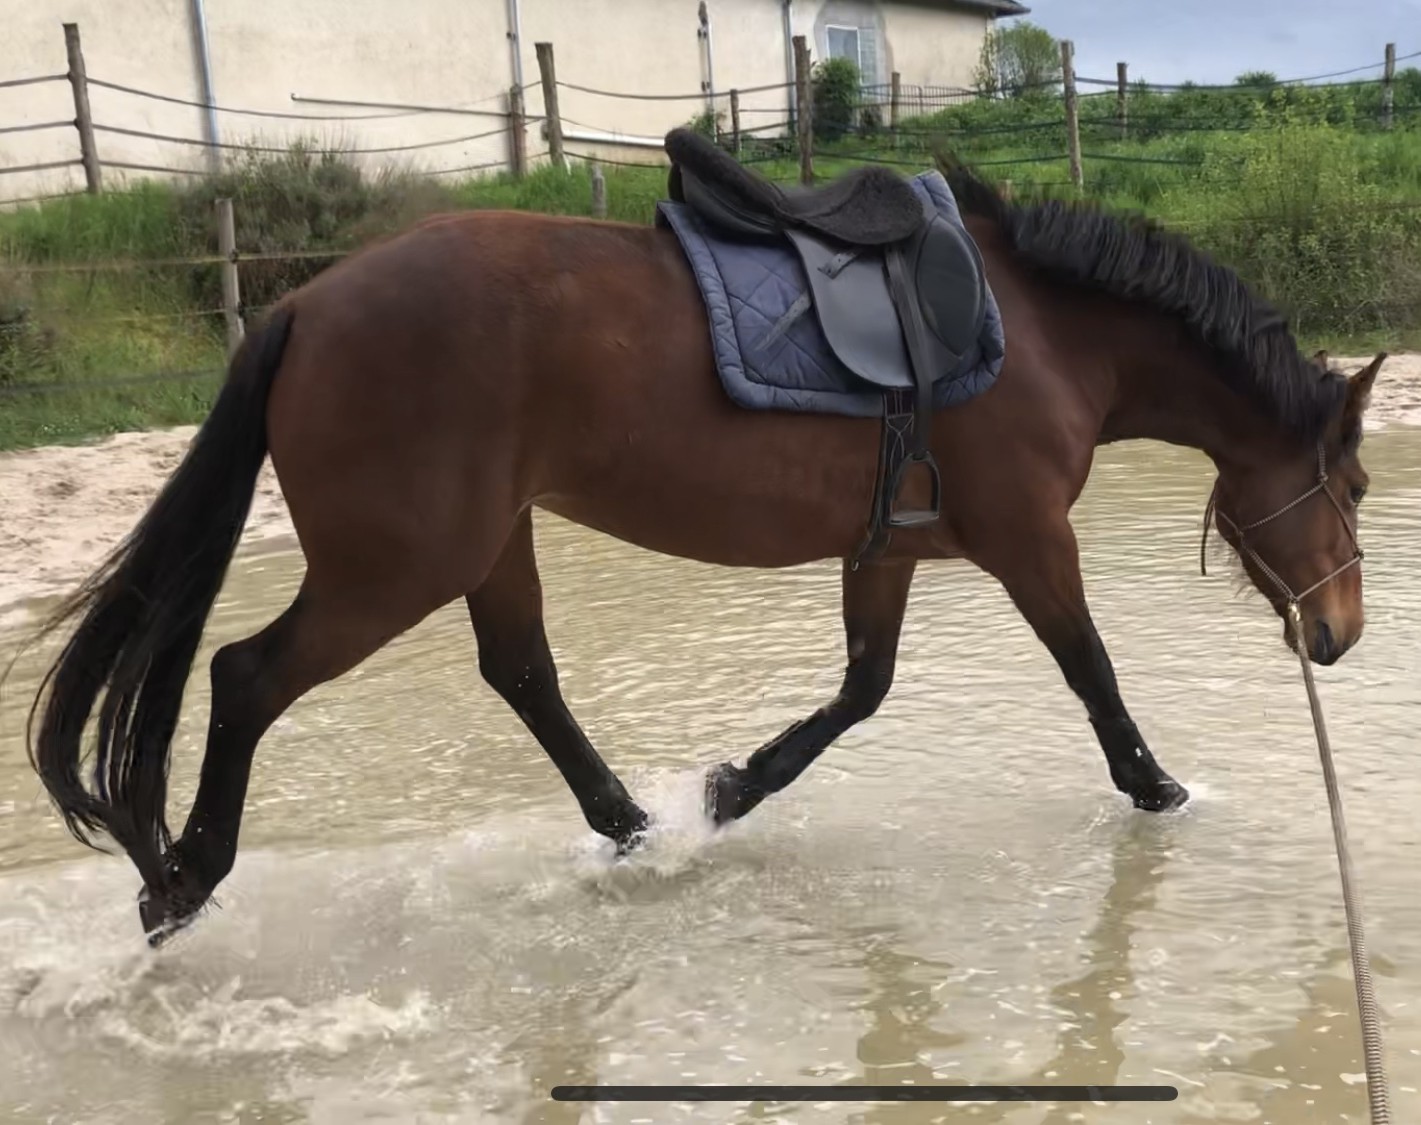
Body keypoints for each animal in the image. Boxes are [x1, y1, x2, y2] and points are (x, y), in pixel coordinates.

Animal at [16, 147, 1383, 945]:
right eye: (1358, 484)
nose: (1337, 633)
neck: (1049, 330)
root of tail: (304, 302)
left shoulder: (887, 544)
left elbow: (861, 688)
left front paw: (729, 791)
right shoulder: (1027, 540)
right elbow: (1091, 675)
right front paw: (1161, 793)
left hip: (484, 544)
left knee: (520, 674)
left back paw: (632, 829)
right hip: (397, 565)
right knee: (246, 676)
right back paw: (184, 880)